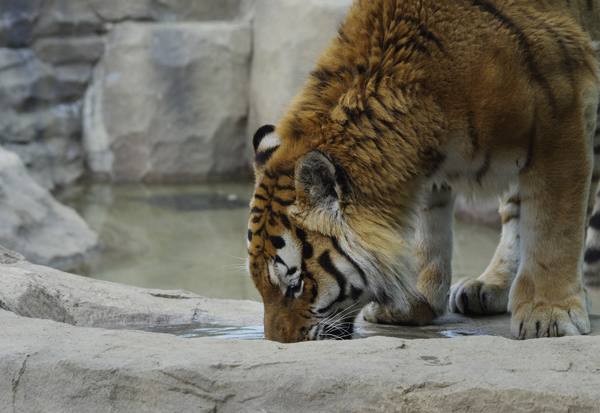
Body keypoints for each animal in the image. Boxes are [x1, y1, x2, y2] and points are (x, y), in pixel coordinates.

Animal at [245, 0, 600, 342]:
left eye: (295, 284)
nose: (278, 342)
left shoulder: (562, 114)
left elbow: (554, 227)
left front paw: (550, 313)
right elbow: (425, 230)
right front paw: (413, 302)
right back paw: (490, 288)